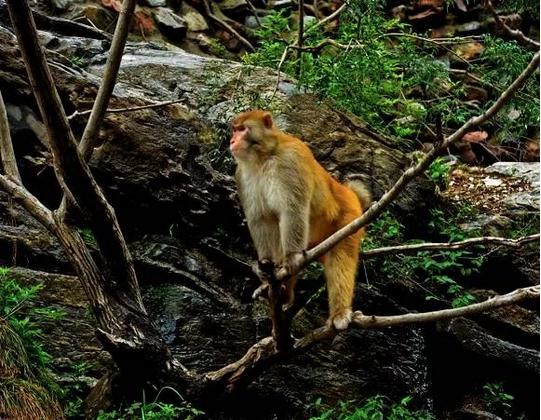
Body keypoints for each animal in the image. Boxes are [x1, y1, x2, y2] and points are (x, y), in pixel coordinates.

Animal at [228, 109, 372, 332]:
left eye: (242, 129)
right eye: (235, 129)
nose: (232, 140)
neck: (263, 156)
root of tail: (349, 192)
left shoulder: (290, 161)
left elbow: (292, 210)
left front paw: (292, 258)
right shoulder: (242, 175)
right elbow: (261, 220)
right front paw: (265, 269)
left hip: (349, 219)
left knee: (340, 258)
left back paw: (339, 313)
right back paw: (283, 290)